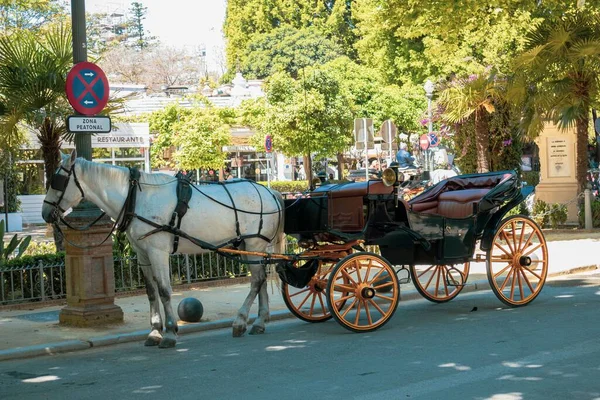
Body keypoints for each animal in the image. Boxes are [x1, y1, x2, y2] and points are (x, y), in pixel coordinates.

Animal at [42, 150, 286, 346]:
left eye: (57, 180)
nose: (45, 213)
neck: (136, 198)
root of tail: (269, 192)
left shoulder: (157, 252)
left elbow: (164, 290)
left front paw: (169, 332)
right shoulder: (142, 254)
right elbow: (151, 292)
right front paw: (155, 331)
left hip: (254, 243)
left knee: (256, 280)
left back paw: (240, 321)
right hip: (249, 246)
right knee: (261, 280)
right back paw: (259, 321)